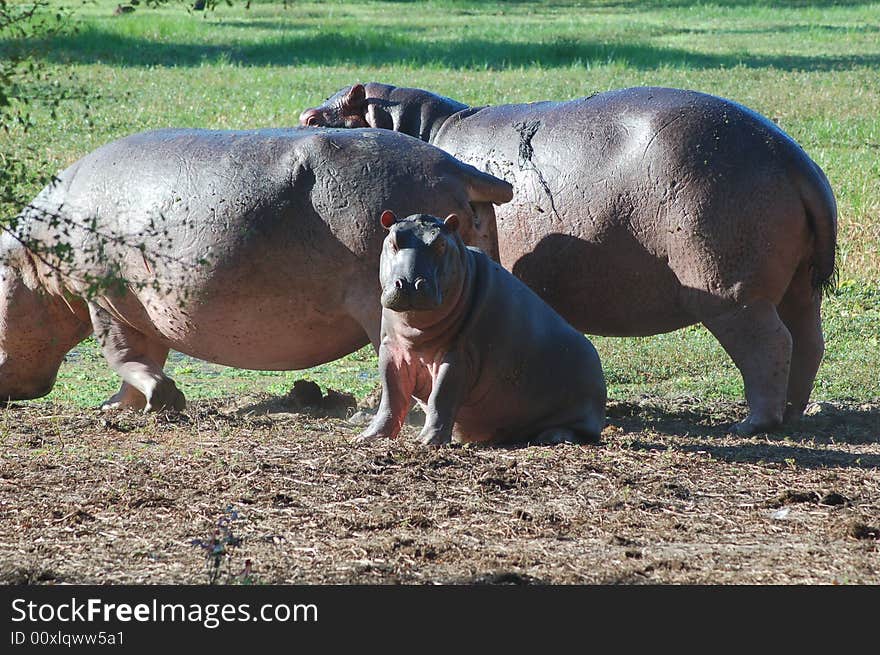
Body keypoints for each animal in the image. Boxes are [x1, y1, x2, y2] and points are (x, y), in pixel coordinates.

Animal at [0, 127, 512, 410]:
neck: (30, 254)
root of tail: (454, 166)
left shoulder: (103, 298)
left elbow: (123, 355)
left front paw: (149, 402)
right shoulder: (142, 307)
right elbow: (144, 355)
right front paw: (121, 406)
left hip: (387, 304)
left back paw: (367, 412)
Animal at [358, 213, 604, 448]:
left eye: (440, 243)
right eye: (393, 240)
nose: (409, 283)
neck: (416, 333)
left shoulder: (459, 355)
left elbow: (441, 396)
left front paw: (426, 441)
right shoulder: (391, 349)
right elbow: (391, 397)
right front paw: (369, 437)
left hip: (583, 410)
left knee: (580, 431)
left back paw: (552, 437)